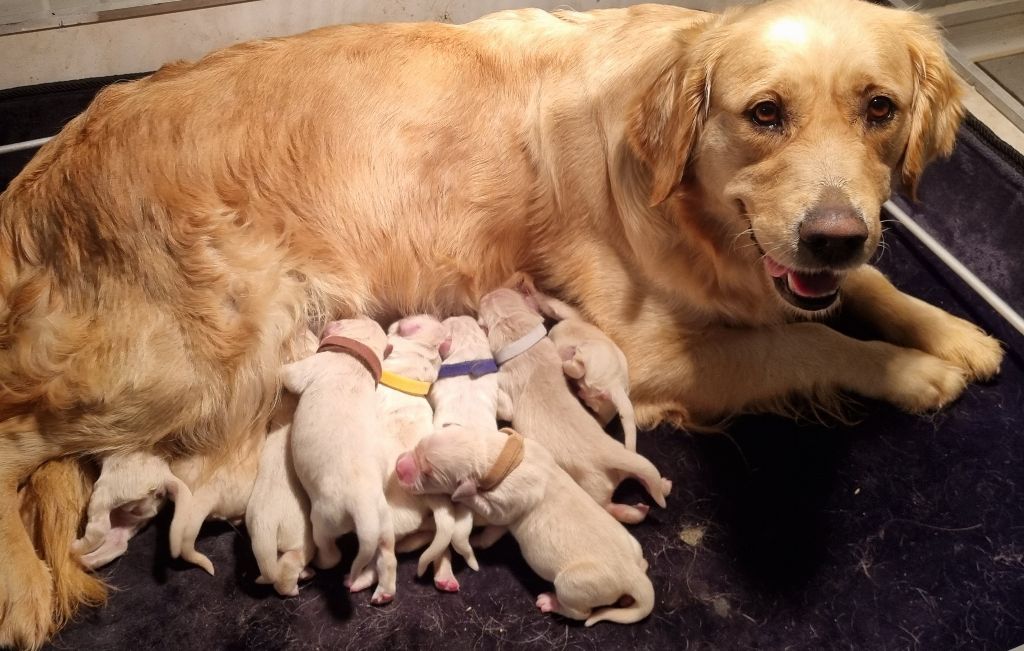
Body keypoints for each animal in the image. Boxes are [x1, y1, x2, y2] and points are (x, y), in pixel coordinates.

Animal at [282, 319, 397, 605]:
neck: (356, 359)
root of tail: (363, 507)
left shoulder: (311, 366)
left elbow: (287, 374)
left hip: (325, 520)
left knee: (332, 554)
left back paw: (321, 564)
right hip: (384, 523)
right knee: (387, 558)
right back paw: (381, 593)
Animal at [395, 423, 651, 626]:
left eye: (428, 473)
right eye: (419, 444)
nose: (398, 467)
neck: (499, 456)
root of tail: (631, 576)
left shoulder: (504, 507)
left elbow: (488, 520)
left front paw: (470, 517)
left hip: (573, 583)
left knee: (581, 612)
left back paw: (550, 602)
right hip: (633, 545)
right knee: (643, 562)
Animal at [475, 290, 667, 524]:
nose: (490, 292)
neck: (521, 340)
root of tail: (610, 453)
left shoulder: (507, 382)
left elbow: (505, 406)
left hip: (593, 487)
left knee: (609, 507)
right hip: (625, 460)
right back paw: (660, 489)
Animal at [509, 272, 630, 450]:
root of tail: (615, 383)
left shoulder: (561, 310)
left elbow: (549, 303)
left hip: (593, 352)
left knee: (579, 365)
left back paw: (570, 359)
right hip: (601, 404)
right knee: (593, 403)